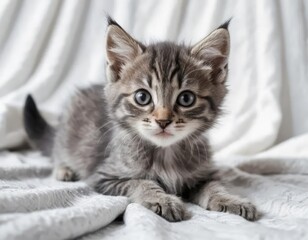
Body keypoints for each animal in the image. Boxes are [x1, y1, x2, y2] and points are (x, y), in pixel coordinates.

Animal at [23, 17, 258, 223]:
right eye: (142, 97)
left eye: (186, 98)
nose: (163, 121)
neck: (166, 153)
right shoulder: (103, 176)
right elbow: (140, 182)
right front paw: (162, 199)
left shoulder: (203, 173)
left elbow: (214, 186)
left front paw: (232, 200)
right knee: (57, 152)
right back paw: (64, 170)